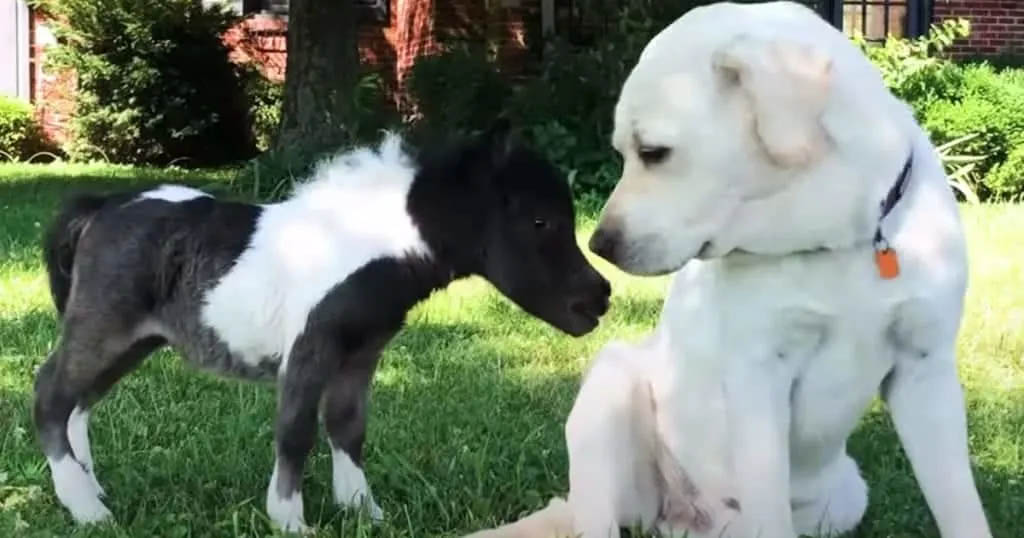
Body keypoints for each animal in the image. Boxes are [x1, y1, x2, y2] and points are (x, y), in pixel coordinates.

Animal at [34, 127, 606, 532]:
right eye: (540, 221)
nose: (599, 298)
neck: (363, 245)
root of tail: (101, 208)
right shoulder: (310, 348)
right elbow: (296, 430)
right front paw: (290, 519)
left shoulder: (362, 352)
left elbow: (348, 426)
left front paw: (363, 511)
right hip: (103, 326)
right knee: (51, 394)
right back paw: (88, 511)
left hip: (135, 340)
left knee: (78, 403)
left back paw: (91, 492)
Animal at [466, 3, 991, 536]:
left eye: (653, 152)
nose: (600, 244)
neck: (840, 239)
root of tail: (694, 518)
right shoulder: (759, 376)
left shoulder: (925, 371)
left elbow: (962, 508)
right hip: (608, 397)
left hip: (846, 498)